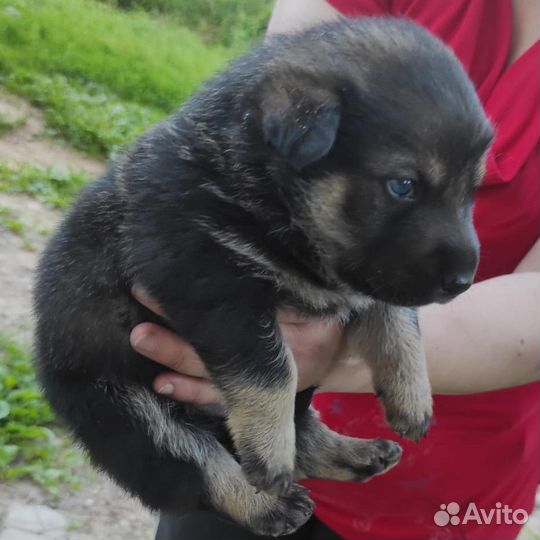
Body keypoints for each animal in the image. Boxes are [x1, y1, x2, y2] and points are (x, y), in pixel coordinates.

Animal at [33, 16, 494, 536]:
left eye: (472, 190)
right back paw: (264, 502)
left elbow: (398, 322)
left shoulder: (368, 278)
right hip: (125, 410)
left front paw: (412, 394)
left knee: (303, 428)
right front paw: (269, 450)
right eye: (403, 186)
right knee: (199, 465)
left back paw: (353, 455)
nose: (462, 281)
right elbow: (271, 369)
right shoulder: (210, 280)